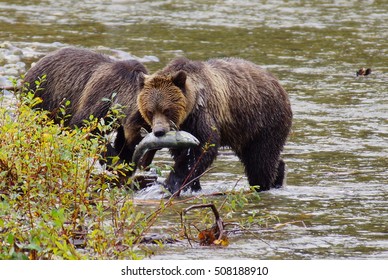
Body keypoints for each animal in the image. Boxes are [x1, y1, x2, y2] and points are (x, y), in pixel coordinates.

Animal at [138, 57, 292, 195]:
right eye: (150, 111)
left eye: (167, 110)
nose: (159, 131)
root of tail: (279, 84)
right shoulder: (184, 129)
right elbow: (181, 153)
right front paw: (193, 186)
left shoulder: (202, 115)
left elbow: (203, 148)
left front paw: (170, 184)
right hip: (243, 132)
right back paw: (278, 175)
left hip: (264, 120)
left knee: (261, 159)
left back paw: (262, 185)